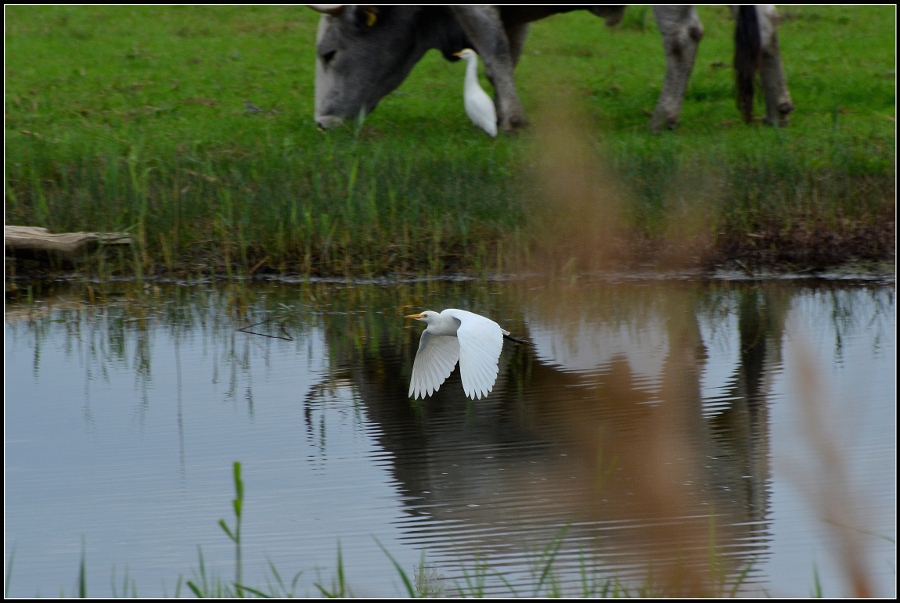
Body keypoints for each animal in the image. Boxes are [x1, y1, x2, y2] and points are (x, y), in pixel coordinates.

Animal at [312, 5, 792, 132]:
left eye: (328, 53)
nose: (321, 122)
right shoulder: (513, 19)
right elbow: (504, 56)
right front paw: (497, 112)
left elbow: (493, 51)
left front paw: (511, 120)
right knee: (768, 25)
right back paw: (777, 111)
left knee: (682, 36)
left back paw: (663, 116)